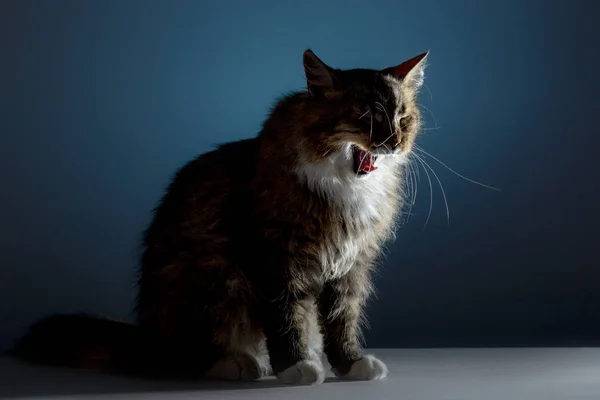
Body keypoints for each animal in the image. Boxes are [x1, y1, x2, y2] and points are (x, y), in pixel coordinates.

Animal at [10, 50, 432, 384]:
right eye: (365, 118)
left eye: (402, 119)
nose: (393, 142)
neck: (347, 187)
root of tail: (144, 336)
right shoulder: (274, 259)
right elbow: (286, 318)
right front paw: (295, 367)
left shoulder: (351, 267)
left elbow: (343, 319)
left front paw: (350, 364)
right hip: (210, 278)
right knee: (180, 359)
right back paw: (239, 363)